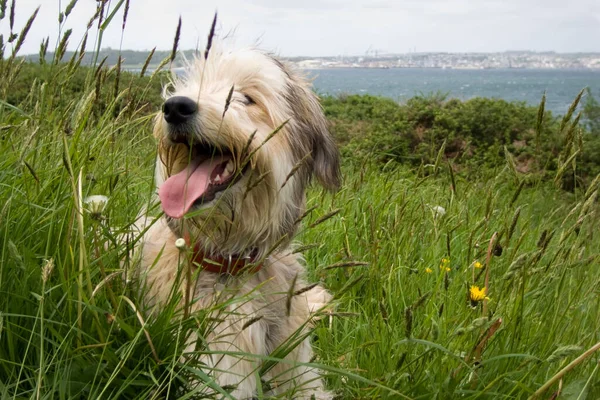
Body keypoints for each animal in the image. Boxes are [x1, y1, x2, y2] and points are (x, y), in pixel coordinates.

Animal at [138, 47, 340, 400]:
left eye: (246, 98)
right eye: (191, 86)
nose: (175, 107)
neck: (232, 264)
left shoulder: (300, 370)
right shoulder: (218, 364)